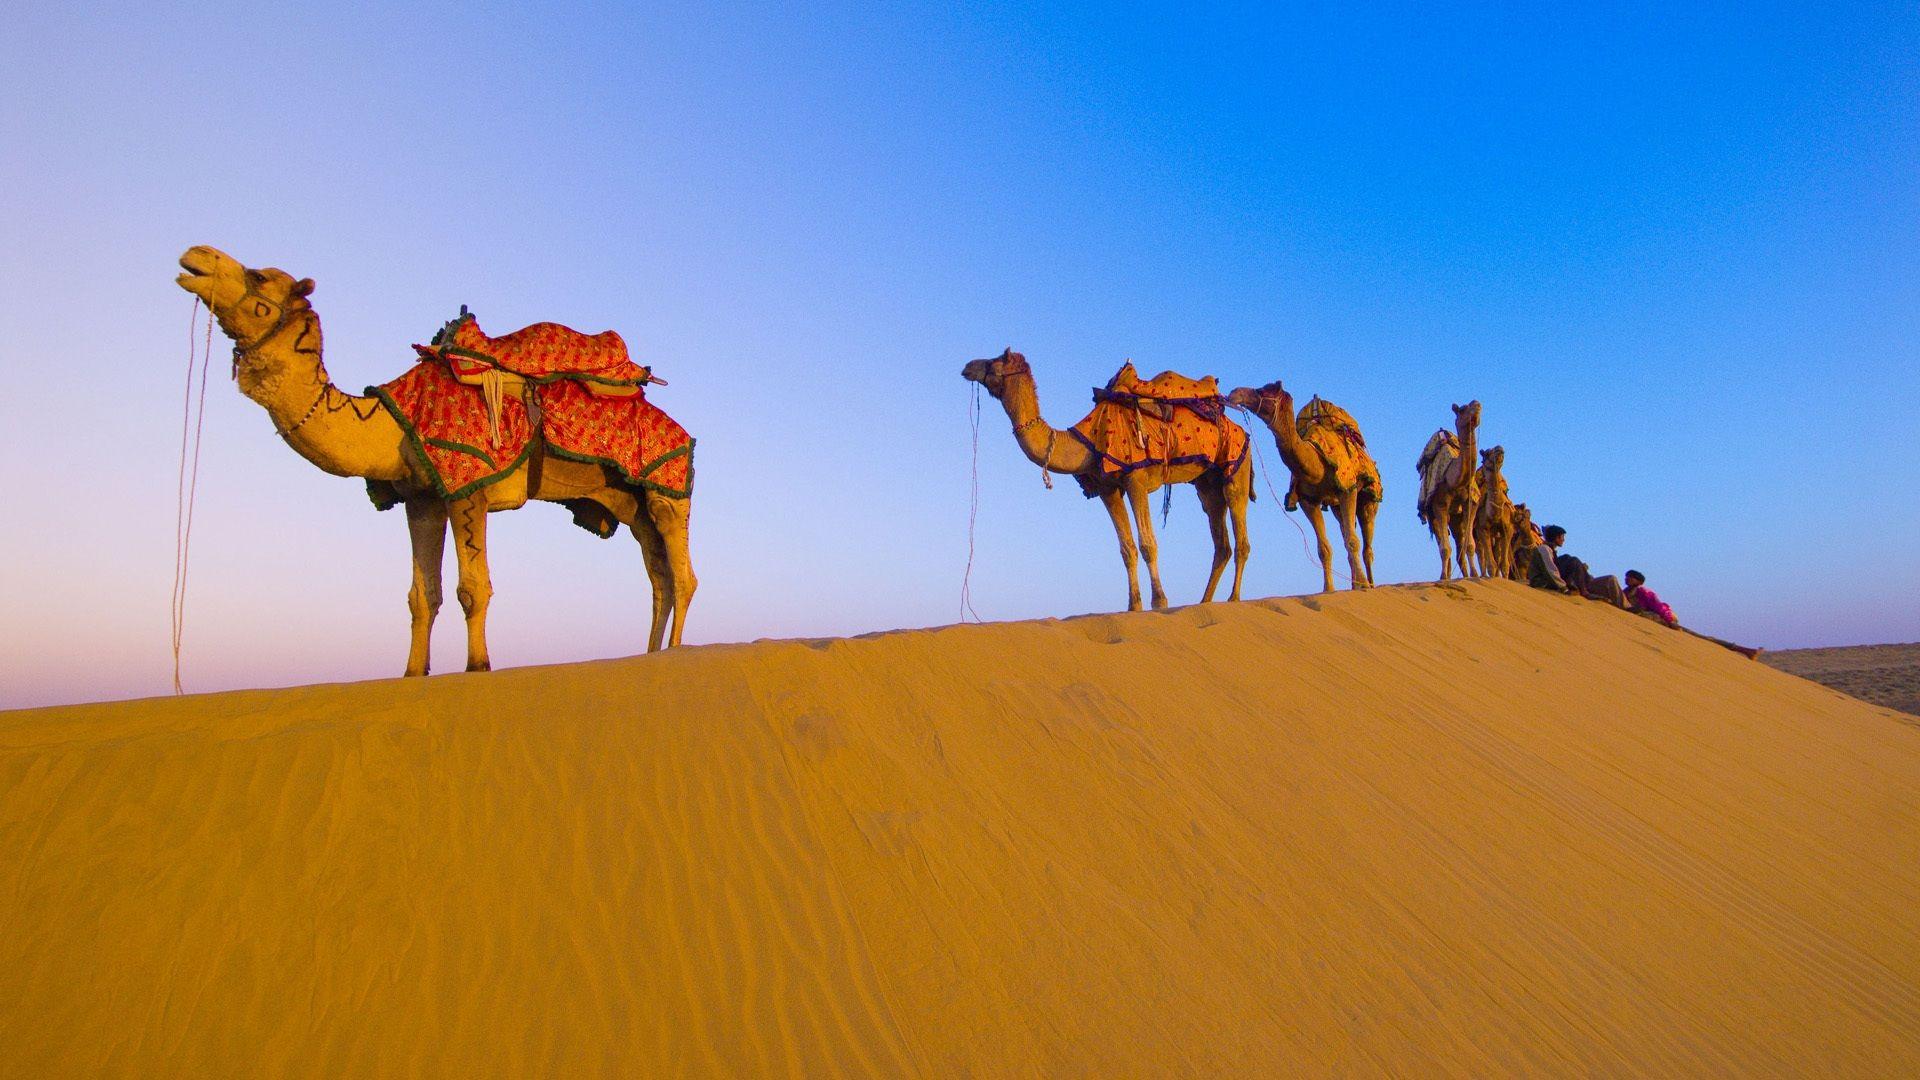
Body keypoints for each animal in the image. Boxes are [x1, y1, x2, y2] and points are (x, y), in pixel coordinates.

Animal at [175, 245, 696, 676]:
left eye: (259, 276)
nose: (194, 256)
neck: (390, 422)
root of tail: (681, 428)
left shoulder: (468, 486)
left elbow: (473, 588)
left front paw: (478, 666)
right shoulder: (421, 497)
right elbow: (422, 597)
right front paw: (413, 672)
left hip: (667, 488)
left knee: (683, 575)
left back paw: (673, 651)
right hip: (626, 501)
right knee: (658, 577)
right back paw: (651, 653)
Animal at [961, 349, 1252, 611]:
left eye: (995, 360)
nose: (967, 366)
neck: (1086, 440)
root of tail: (1239, 428)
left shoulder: (1136, 480)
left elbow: (1147, 543)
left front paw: (1159, 602)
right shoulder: (1107, 488)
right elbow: (1127, 549)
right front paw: (1133, 606)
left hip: (1236, 466)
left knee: (1240, 536)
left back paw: (1234, 599)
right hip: (1207, 483)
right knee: (1220, 540)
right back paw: (1205, 602)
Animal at [1225, 381, 1381, 591]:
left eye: (1262, 390)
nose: (1235, 393)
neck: (1318, 463)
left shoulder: (1348, 488)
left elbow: (1352, 542)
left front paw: (1363, 585)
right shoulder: (1309, 501)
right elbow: (1324, 548)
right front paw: (1328, 589)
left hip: (1369, 498)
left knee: (1366, 545)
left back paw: (1369, 584)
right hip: (1336, 506)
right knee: (1346, 531)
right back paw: (1353, 584)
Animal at [1415, 401, 1482, 580]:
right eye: (1463, 409)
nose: (1477, 404)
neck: (1454, 480)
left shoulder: (1471, 502)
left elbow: (1469, 545)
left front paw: (1475, 575)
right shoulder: (1439, 503)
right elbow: (1445, 548)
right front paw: (1444, 577)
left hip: (1456, 518)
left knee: (1459, 546)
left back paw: (1464, 576)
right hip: (1433, 515)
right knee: (1443, 543)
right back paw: (1446, 575)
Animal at [1472, 446, 1514, 579]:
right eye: (1487, 453)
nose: (1499, 448)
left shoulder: (1508, 529)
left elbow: (1504, 564)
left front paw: (1504, 578)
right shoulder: (1482, 528)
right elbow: (1491, 563)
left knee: (1496, 554)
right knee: (1480, 552)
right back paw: (1482, 575)